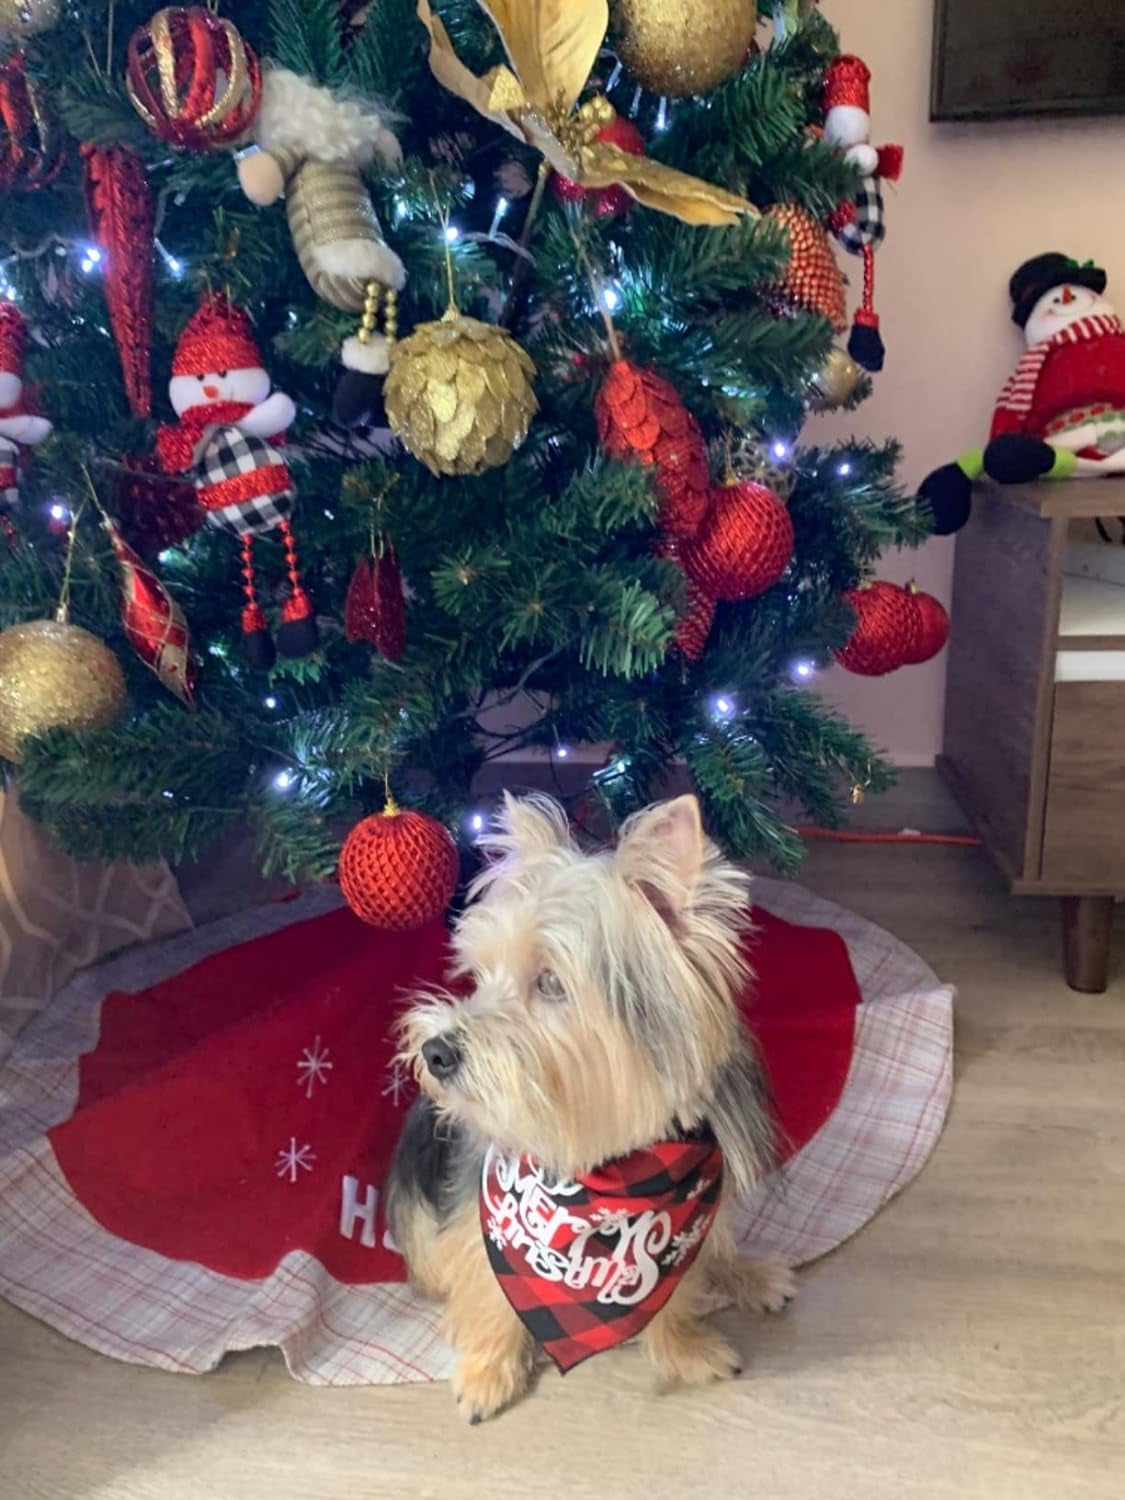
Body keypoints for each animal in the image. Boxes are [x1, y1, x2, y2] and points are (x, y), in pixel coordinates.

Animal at [393, 792, 798, 1422]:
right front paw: (488, 1367)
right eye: (479, 975)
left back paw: (747, 1274)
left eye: (550, 983)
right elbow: (485, 1277)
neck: (605, 1166)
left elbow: (679, 1278)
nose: (435, 1052)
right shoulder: (482, 1211)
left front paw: (686, 1348)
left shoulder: (688, 1214)